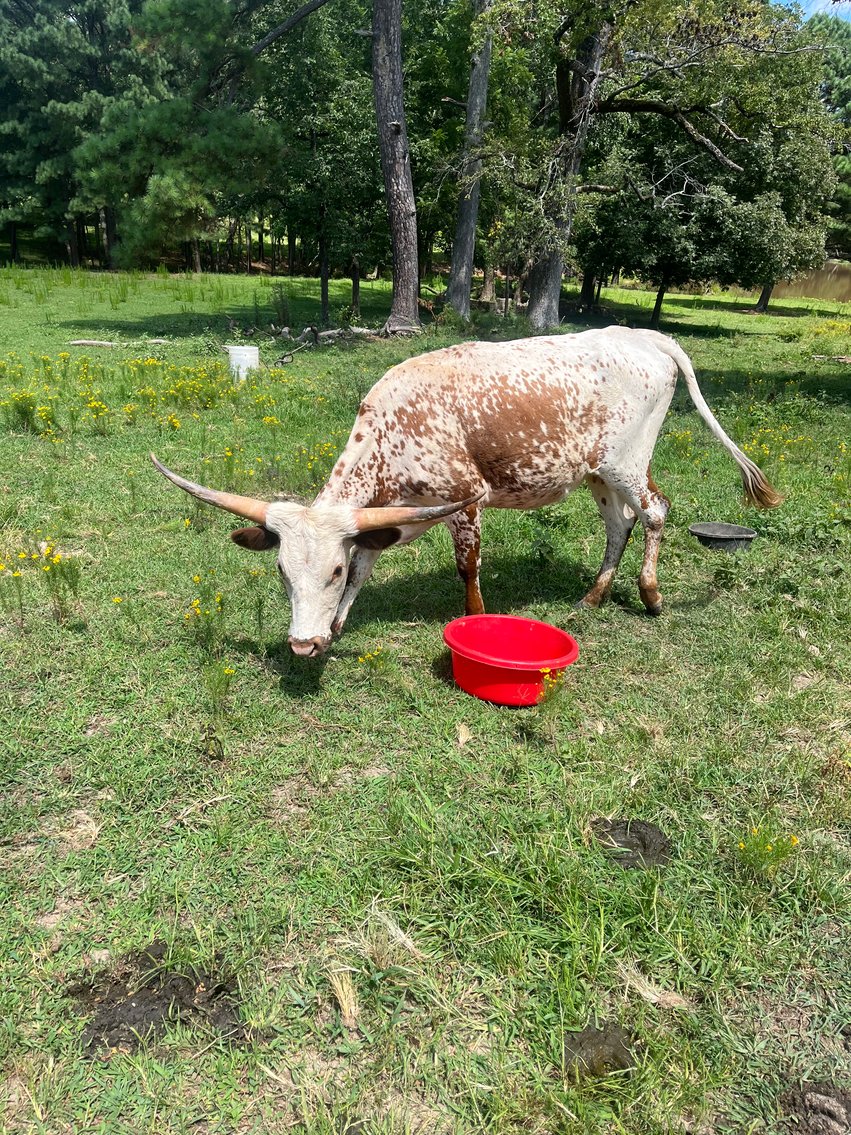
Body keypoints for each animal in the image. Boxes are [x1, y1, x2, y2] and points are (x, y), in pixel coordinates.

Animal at [151, 327, 781, 656]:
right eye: (283, 572)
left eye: (327, 571)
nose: (301, 645)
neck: (392, 430)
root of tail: (644, 336)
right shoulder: (387, 516)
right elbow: (367, 567)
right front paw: (335, 627)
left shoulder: (465, 498)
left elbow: (466, 567)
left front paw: (475, 622)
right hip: (597, 473)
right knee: (618, 522)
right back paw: (593, 596)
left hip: (625, 460)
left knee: (654, 511)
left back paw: (650, 595)